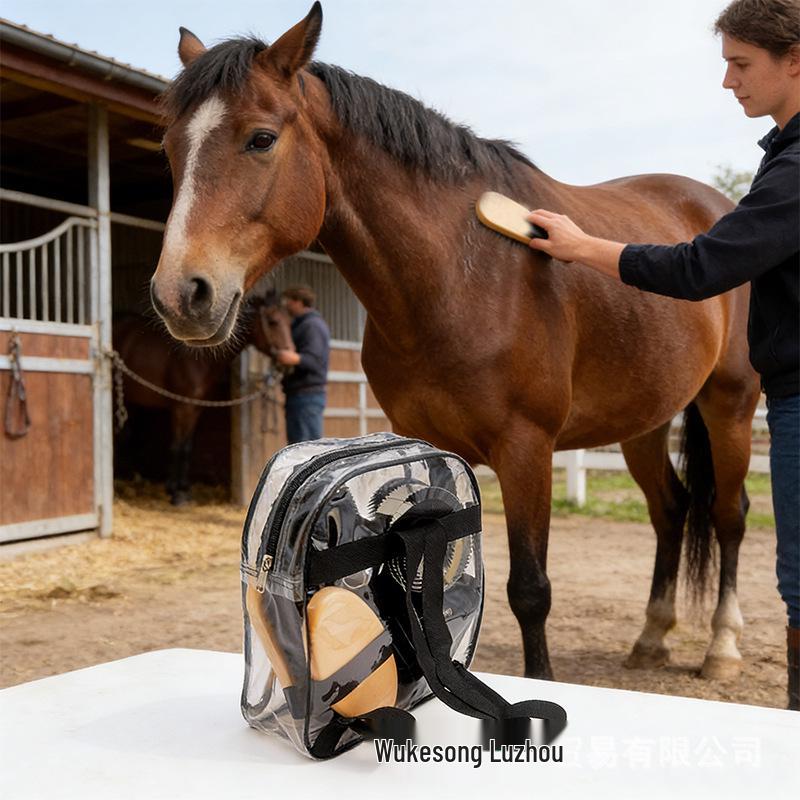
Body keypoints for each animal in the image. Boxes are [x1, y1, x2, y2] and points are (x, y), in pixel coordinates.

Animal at [113, 293, 292, 504]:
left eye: (290, 321)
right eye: (273, 322)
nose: (290, 361)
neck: (195, 359)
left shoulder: (196, 408)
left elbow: (188, 447)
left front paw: (183, 488)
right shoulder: (182, 408)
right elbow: (178, 447)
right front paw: (176, 494)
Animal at [150, 4, 760, 681]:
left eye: (260, 138)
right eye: (171, 148)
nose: (181, 294)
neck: (460, 278)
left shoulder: (527, 450)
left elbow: (530, 590)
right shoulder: (424, 443)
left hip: (730, 404)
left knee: (729, 517)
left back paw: (723, 646)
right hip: (644, 422)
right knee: (671, 510)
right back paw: (652, 637)